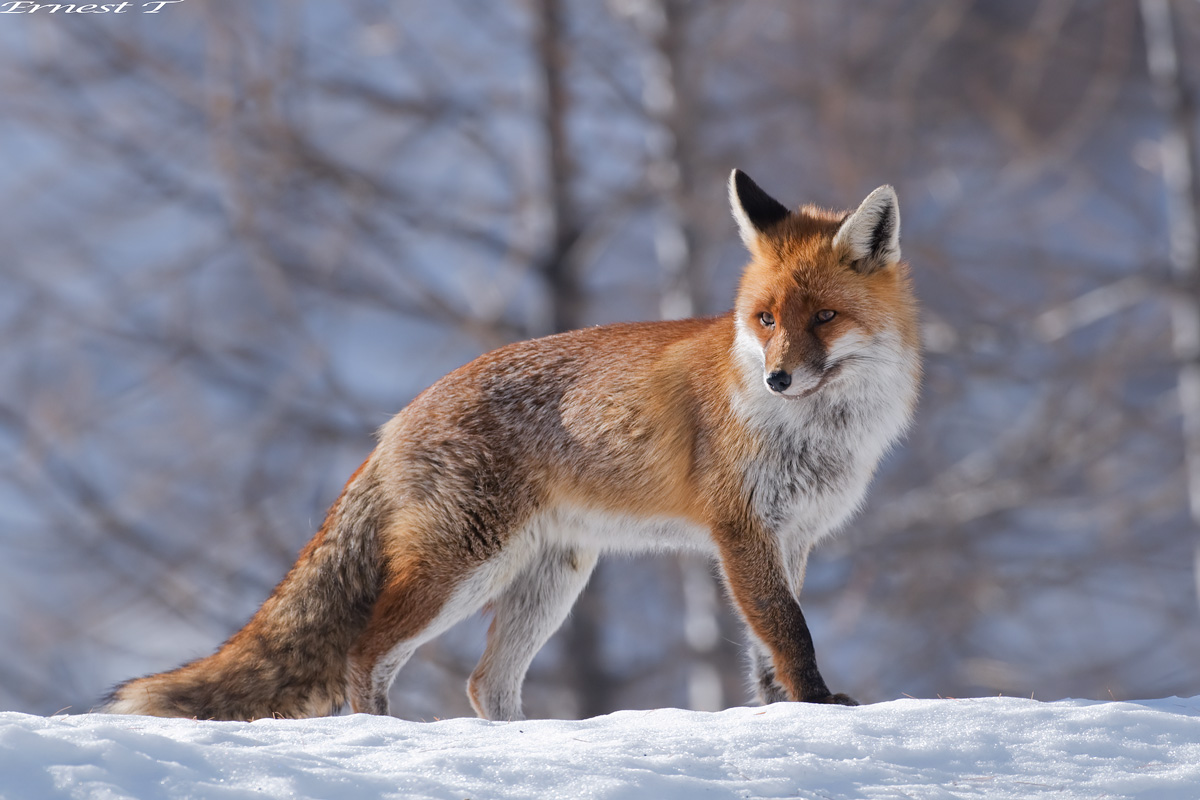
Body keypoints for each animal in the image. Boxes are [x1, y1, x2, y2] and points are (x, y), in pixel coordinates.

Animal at [100, 170, 921, 722]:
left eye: (822, 317)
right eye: (764, 320)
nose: (779, 378)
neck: (818, 433)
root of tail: (398, 417)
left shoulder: (793, 536)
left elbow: (767, 653)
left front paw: (779, 715)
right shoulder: (742, 531)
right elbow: (790, 632)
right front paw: (817, 707)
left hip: (551, 576)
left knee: (484, 683)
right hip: (466, 564)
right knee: (365, 652)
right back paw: (383, 737)